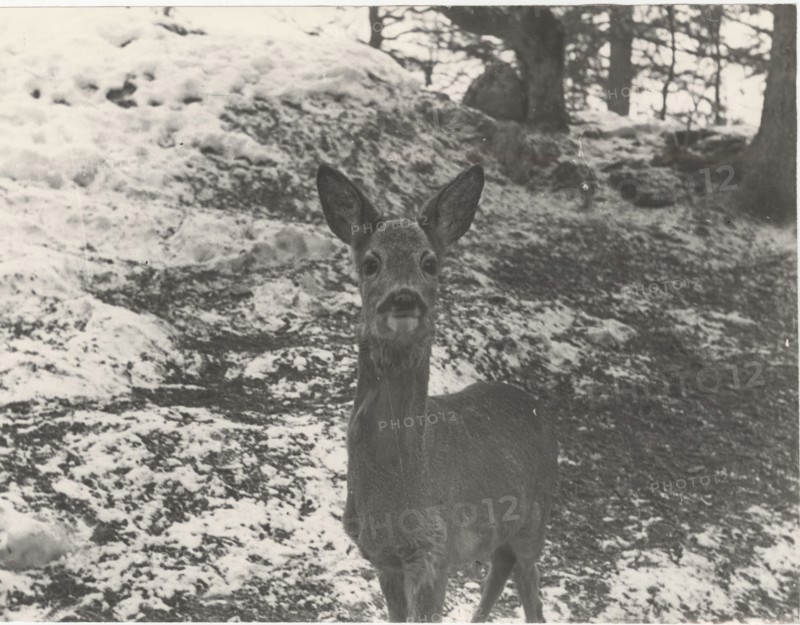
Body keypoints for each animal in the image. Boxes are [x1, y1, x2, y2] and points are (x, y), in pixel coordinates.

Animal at [316, 163, 558, 623]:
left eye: (429, 262)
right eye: (371, 262)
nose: (403, 297)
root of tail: (534, 404)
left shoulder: (434, 551)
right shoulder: (384, 558)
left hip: (535, 520)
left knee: (529, 588)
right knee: (499, 570)